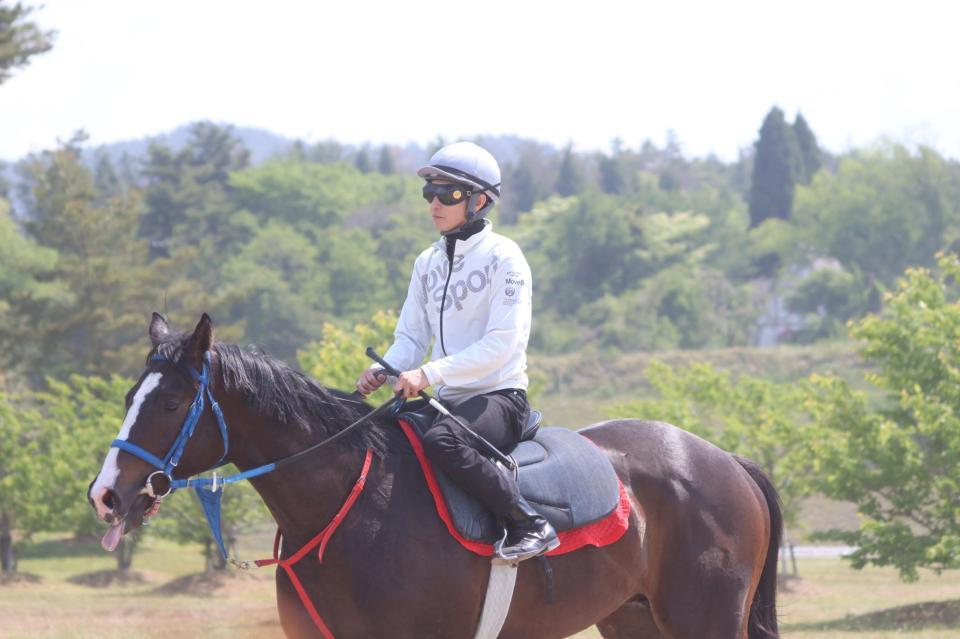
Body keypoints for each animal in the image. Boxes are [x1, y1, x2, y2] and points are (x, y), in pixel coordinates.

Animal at [88, 313, 782, 639]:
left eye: (170, 403)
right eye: (127, 395)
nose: (106, 495)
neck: (348, 505)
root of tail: (726, 461)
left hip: (704, 622)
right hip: (632, 619)